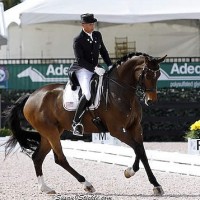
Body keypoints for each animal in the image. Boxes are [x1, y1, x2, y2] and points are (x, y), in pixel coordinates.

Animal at [2, 52, 166, 196]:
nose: (151, 100)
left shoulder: (135, 127)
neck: (120, 91)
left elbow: (141, 151)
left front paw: (154, 184)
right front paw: (131, 173)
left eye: (158, 75)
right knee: (60, 159)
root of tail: (31, 96)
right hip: (51, 132)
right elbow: (138, 148)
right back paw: (87, 184)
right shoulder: (117, 130)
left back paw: (45, 188)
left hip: (50, 132)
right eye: (147, 75)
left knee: (37, 157)